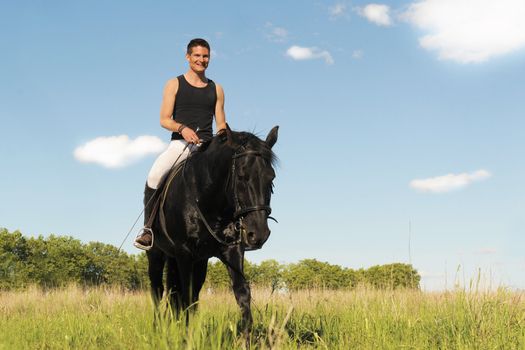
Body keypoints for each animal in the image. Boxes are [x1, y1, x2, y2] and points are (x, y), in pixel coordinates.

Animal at [146, 126, 278, 336]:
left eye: (271, 178)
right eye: (241, 176)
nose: (258, 234)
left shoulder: (231, 250)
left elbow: (242, 293)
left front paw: (246, 338)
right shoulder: (184, 254)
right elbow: (186, 296)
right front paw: (186, 338)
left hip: (198, 261)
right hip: (156, 253)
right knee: (158, 289)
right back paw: (158, 329)